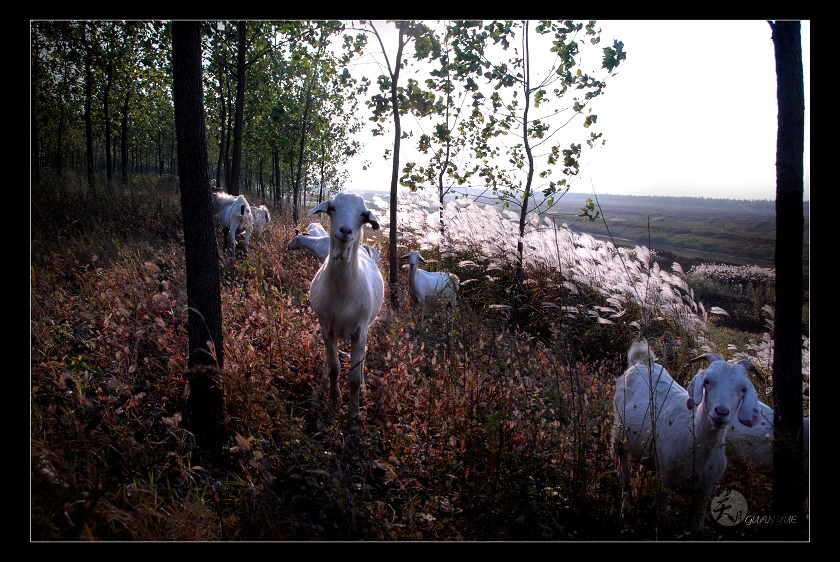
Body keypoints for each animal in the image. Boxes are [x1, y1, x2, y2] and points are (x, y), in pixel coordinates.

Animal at [310, 192, 386, 416]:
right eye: (333, 208)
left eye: (363, 215)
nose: (345, 230)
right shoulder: (326, 328)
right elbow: (335, 368)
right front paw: (334, 399)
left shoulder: (359, 331)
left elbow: (354, 378)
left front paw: (353, 412)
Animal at [612, 340, 760, 532]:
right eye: (707, 381)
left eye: (743, 389)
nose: (721, 412)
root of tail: (641, 362)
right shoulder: (666, 479)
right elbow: (663, 520)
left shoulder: (706, 487)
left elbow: (698, 523)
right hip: (619, 434)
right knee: (623, 468)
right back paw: (626, 510)